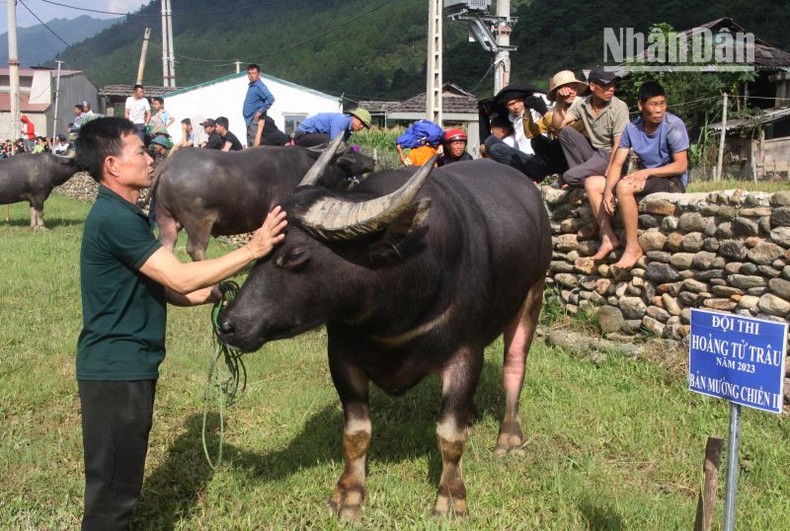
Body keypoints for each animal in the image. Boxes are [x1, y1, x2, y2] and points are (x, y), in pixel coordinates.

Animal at [156, 138, 378, 260]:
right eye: (349, 150)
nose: (372, 161)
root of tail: (169, 165)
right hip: (199, 222)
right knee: (196, 249)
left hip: (166, 217)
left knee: (166, 243)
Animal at [217, 157, 552, 520]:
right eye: (261, 245)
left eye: (295, 255)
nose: (229, 325)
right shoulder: (341, 357)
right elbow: (356, 433)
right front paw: (348, 495)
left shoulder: (465, 354)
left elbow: (449, 436)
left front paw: (451, 499)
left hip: (533, 293)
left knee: (514, 365)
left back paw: (509, 438)